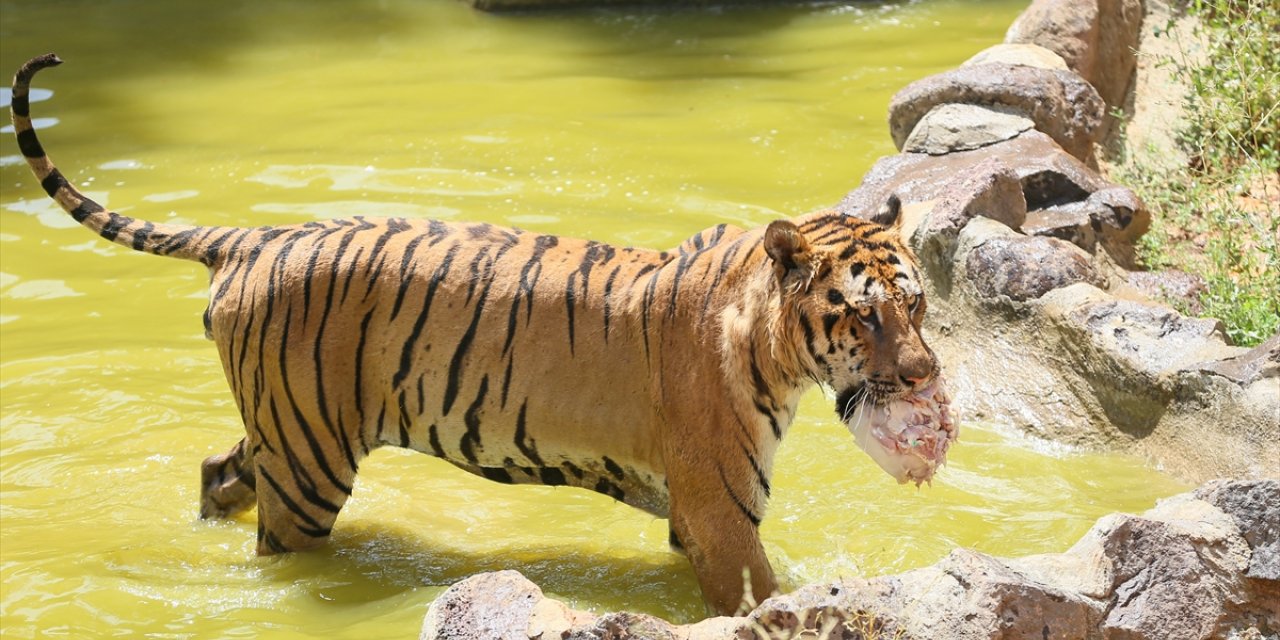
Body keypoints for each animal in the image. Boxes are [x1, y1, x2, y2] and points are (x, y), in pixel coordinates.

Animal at [10, 53, 942, 614]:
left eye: (919, 305)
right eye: (864, 313)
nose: (926, 376)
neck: (771, 342)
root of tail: (250, 238)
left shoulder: (700, 517)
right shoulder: (720, 514)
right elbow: (761, 593)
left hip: (286, 427)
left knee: (217, 468)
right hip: (310, 460)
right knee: (276, 542)